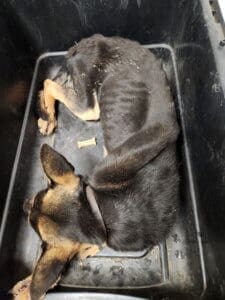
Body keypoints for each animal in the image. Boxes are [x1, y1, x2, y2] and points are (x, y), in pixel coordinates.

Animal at [18, 34, 179, 298]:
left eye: (41, 193)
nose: (23, 204)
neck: (98, 211)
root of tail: (93, 40)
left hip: (90, 106)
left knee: (50, 83)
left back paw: (46, 114)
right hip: (90, 103)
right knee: (50, 83)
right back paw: (48, 116)